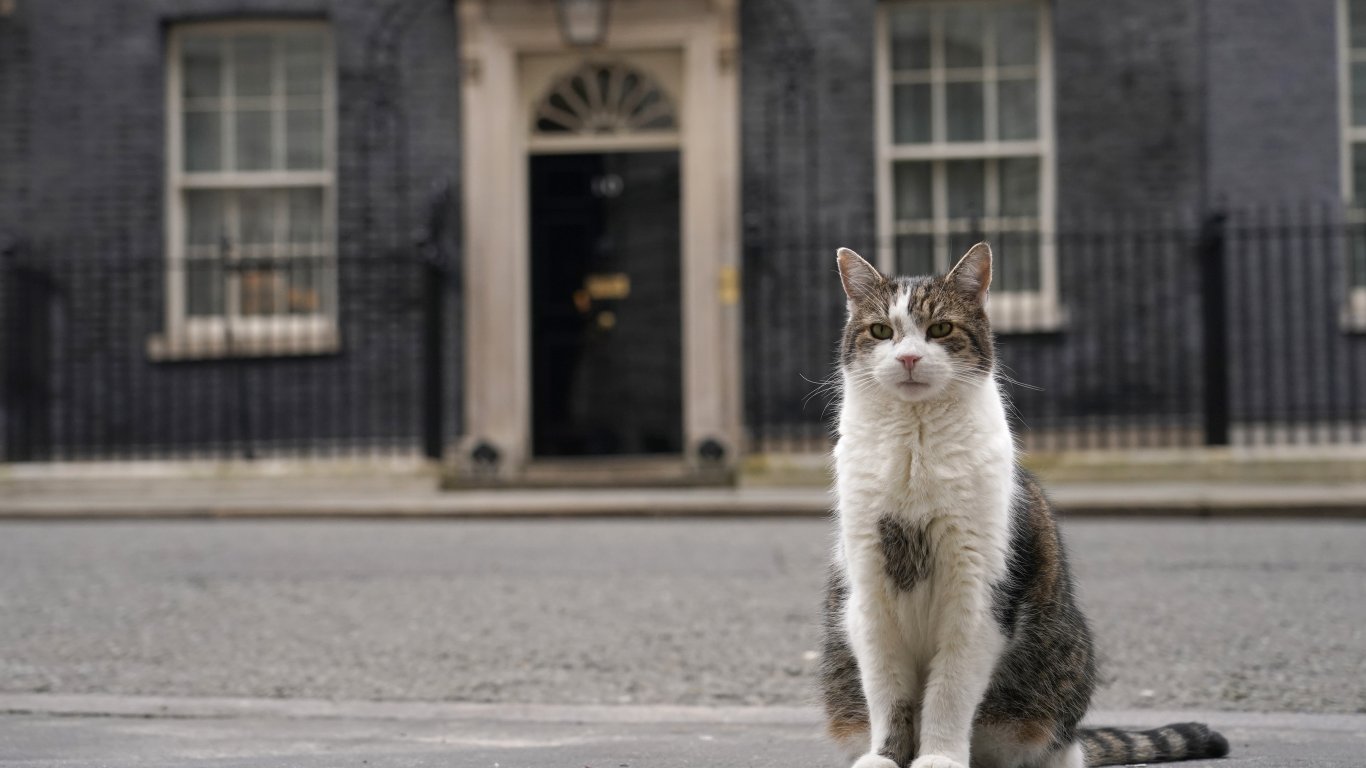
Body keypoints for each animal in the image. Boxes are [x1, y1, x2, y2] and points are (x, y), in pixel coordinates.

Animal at [814, 244, 1234, 765]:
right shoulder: (869, 594)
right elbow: (888, 693)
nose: (909, 357)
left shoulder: (978, 594)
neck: (915, 448)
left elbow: (949, 692)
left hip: (1054, 693)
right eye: (880, 331)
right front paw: (887, 757)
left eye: (940, 329)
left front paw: (938, 757)